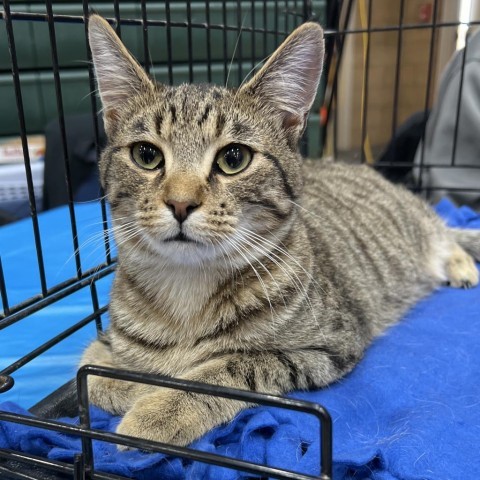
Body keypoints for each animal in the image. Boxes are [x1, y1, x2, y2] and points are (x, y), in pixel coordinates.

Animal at [81, 15, 480, 450]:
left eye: (234, 158)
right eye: (146, 155)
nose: (180, 203)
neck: (187, 291)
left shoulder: (327, 346)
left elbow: (227, 371)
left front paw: (158, 410)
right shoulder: (104, 341)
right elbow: (90, 374)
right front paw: (137, 385)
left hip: (418, 225)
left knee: (446, 232)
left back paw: (461, 265)